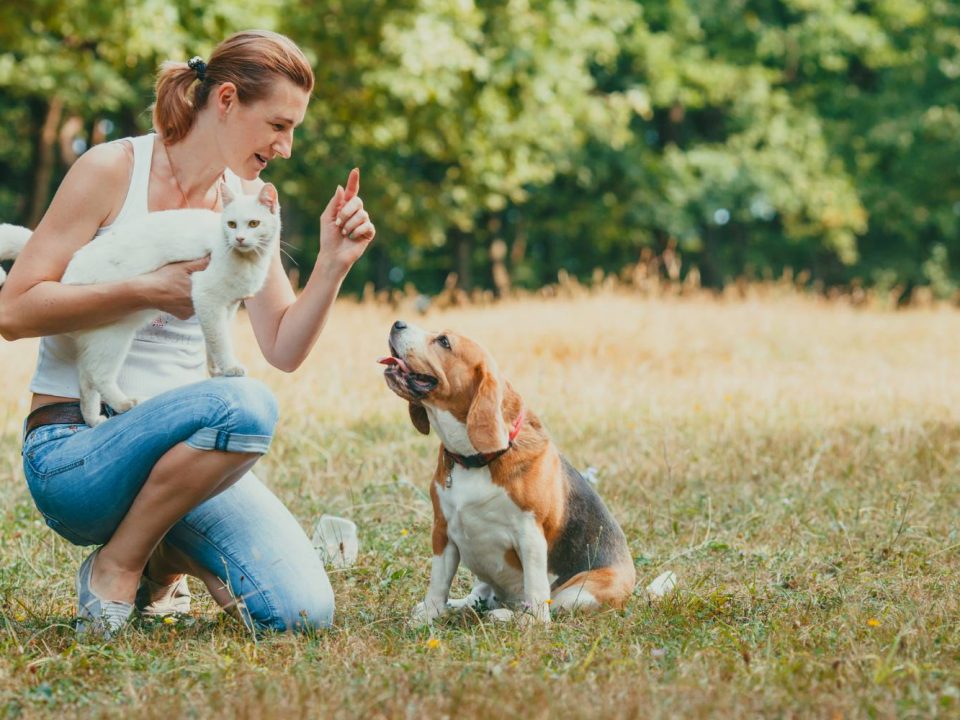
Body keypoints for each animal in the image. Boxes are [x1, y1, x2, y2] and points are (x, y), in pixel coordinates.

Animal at [0, 183, 282, 428]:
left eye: (254, 223)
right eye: (231, 224)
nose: (240, 238)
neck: (248, 260)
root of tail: (66, 278)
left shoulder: (228, 306)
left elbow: (215, 342)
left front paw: (216, 371)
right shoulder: (207, 298)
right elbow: (219, 340)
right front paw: (230, 368)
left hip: (97, 343)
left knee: (85, 379)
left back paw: (94, 420)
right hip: (113, 338)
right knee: (98, 375)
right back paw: (124, 404)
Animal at [378, 322, 632, 624]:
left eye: (444, 341)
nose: (398, 324)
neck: (474, 459)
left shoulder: (530, 535)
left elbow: (536, 590)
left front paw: (533, 625)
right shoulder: (443, 530)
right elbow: (438, 582)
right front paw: (428, 615)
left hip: (580, 593)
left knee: (547, 605)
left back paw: (506, 615)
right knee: (478, 597)